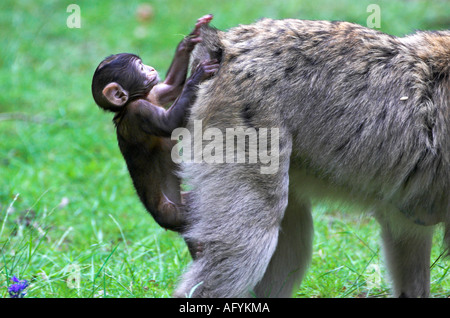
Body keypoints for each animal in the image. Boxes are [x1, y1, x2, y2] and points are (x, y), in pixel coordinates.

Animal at [91, 13, 218, 235]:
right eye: (140, 67)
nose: (150, 68)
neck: (132, 101)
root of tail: (159, 219)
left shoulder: (155, 93)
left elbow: (172, 86)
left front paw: (189, 41)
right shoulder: (139, 111)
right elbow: (169, 124)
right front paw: (198, 75)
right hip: (174, 213)